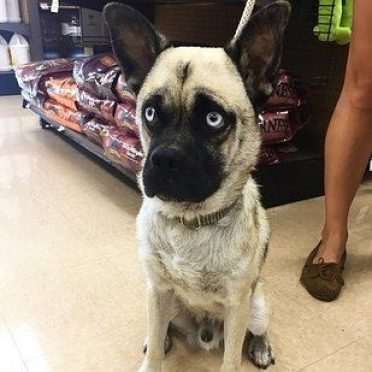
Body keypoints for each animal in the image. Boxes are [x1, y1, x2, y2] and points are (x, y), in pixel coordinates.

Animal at [104, 1, 290, 370]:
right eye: (150, 113)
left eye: (213, 119)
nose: (164, 159)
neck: (190, 221)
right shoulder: (157, 290)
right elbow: (155, 353)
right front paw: (154, 352)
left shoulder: (237, 307)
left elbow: (231, 360)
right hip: (167, 304)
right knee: (162, 329)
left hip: (257, 307)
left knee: (258, 329)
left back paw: (261, 345)